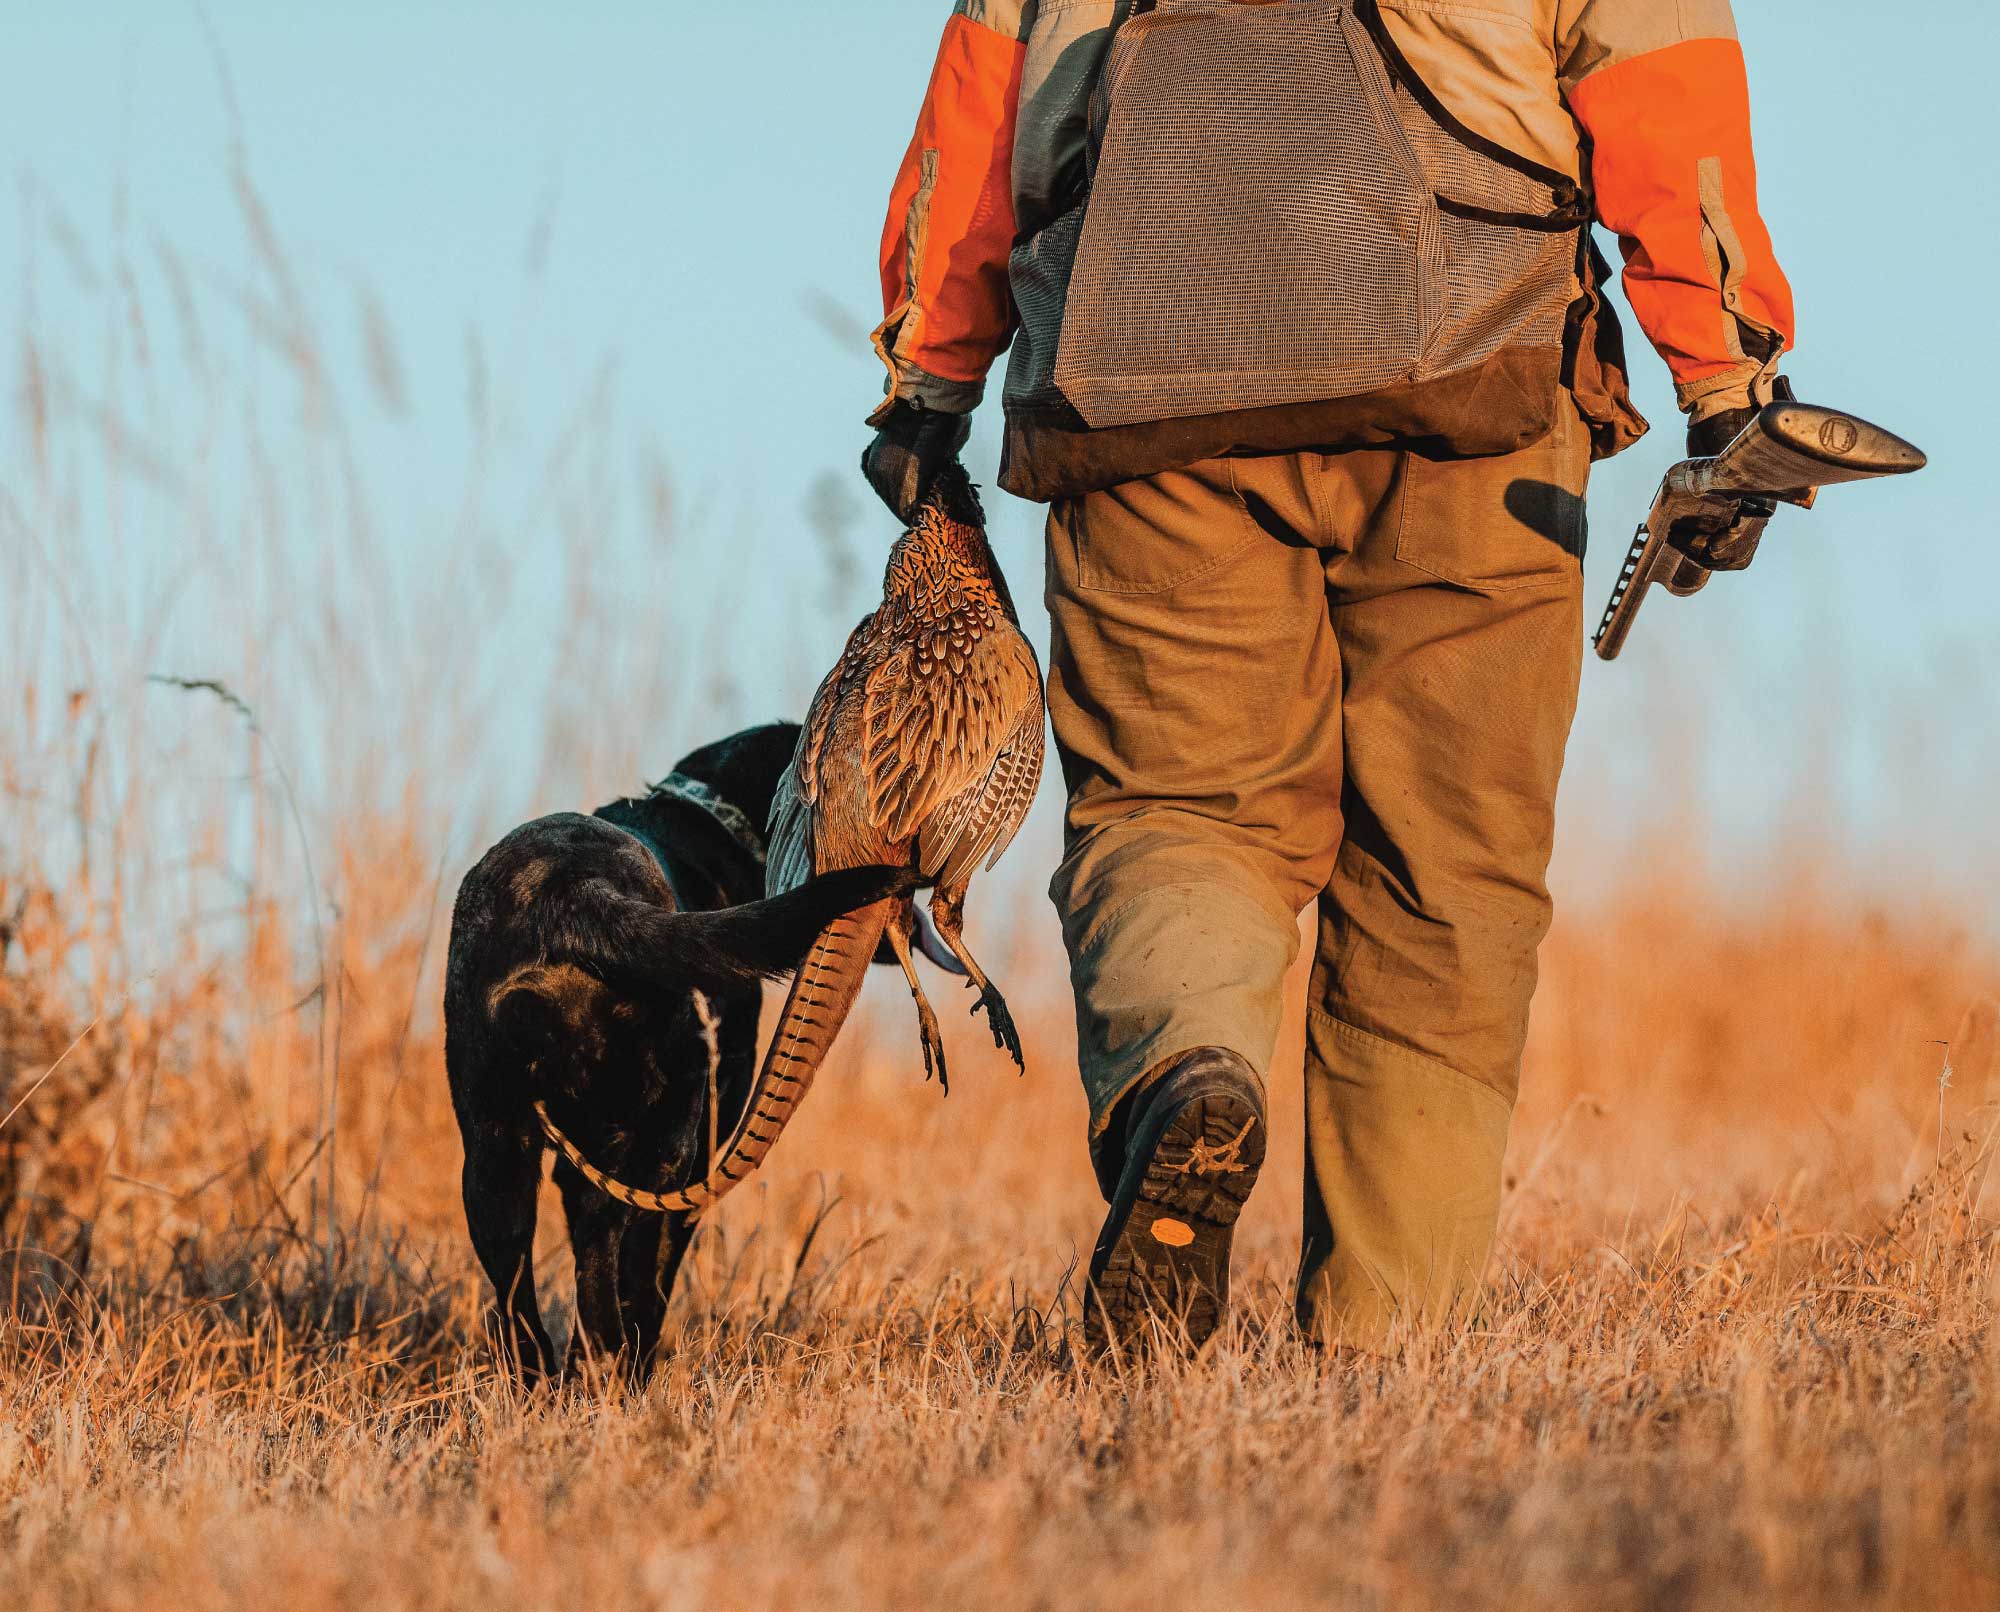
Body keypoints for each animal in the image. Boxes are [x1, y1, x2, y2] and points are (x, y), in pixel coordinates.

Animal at [448, 724, 916, 1384]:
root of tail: (571, 894)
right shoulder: (698, 1150)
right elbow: (652, 1274)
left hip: (494, 1152)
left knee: (523, 1301)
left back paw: (545, 1384)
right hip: (657, 1141)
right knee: (614, 1273)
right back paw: (616, 1373)